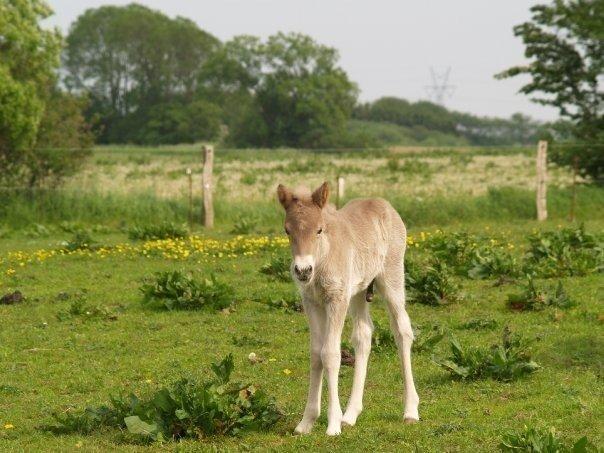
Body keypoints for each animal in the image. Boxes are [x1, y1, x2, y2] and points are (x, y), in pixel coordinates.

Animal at [278, 182, 420, 436]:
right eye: (287, 231)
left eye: (319, 230)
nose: (303, 270)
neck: (323, 257)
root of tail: (383, 204)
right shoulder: (311, 302)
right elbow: (316, 354)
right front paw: (307, 422)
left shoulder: (337, 299)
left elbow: (330, 354)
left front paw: (333, 424)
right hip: (359, 291)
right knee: (363, 336)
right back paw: (351, 415)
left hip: (391, 277)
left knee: (402, 330)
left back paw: (410, 411)